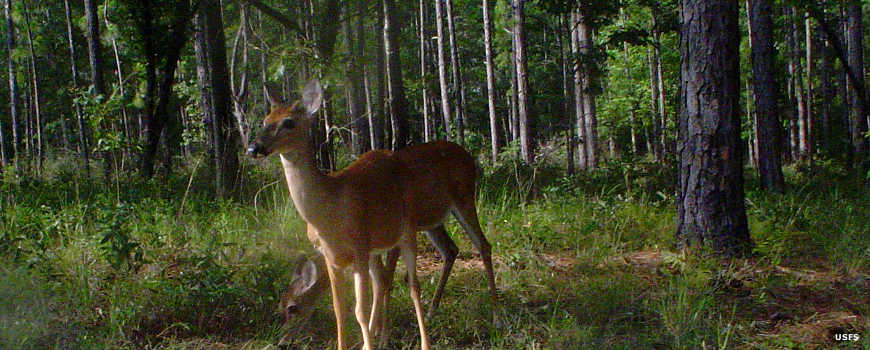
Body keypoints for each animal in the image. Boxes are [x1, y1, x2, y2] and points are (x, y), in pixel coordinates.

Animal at [249, 80, 498, 350]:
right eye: (265, 119)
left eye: (288, 122)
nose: (254, 147)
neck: (330, 208)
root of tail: (469, 157)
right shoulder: (333, 257)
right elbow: (340, 309)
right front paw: (365, 338)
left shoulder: (361, 247)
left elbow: (362, 306)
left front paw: (374, 339)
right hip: (430, 224)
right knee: (448, 251)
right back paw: (434, 310)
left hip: (448, 208)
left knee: (458, 258)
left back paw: (489, 317)